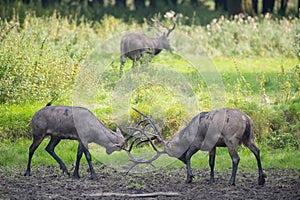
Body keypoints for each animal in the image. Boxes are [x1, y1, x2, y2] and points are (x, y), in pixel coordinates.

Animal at [125, 108, 266, 186]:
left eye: (172, 153)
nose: (180, 159)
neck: (187, 136)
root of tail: (247, 119)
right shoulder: (212, 146)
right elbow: (211, 162)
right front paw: (211, 179)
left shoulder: (197, 143)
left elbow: (188, 155)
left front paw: (189, 177)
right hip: (249, 137)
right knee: (257, 151)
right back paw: (261, 179)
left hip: (231, 139)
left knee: (236, 158)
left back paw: (231, 181)